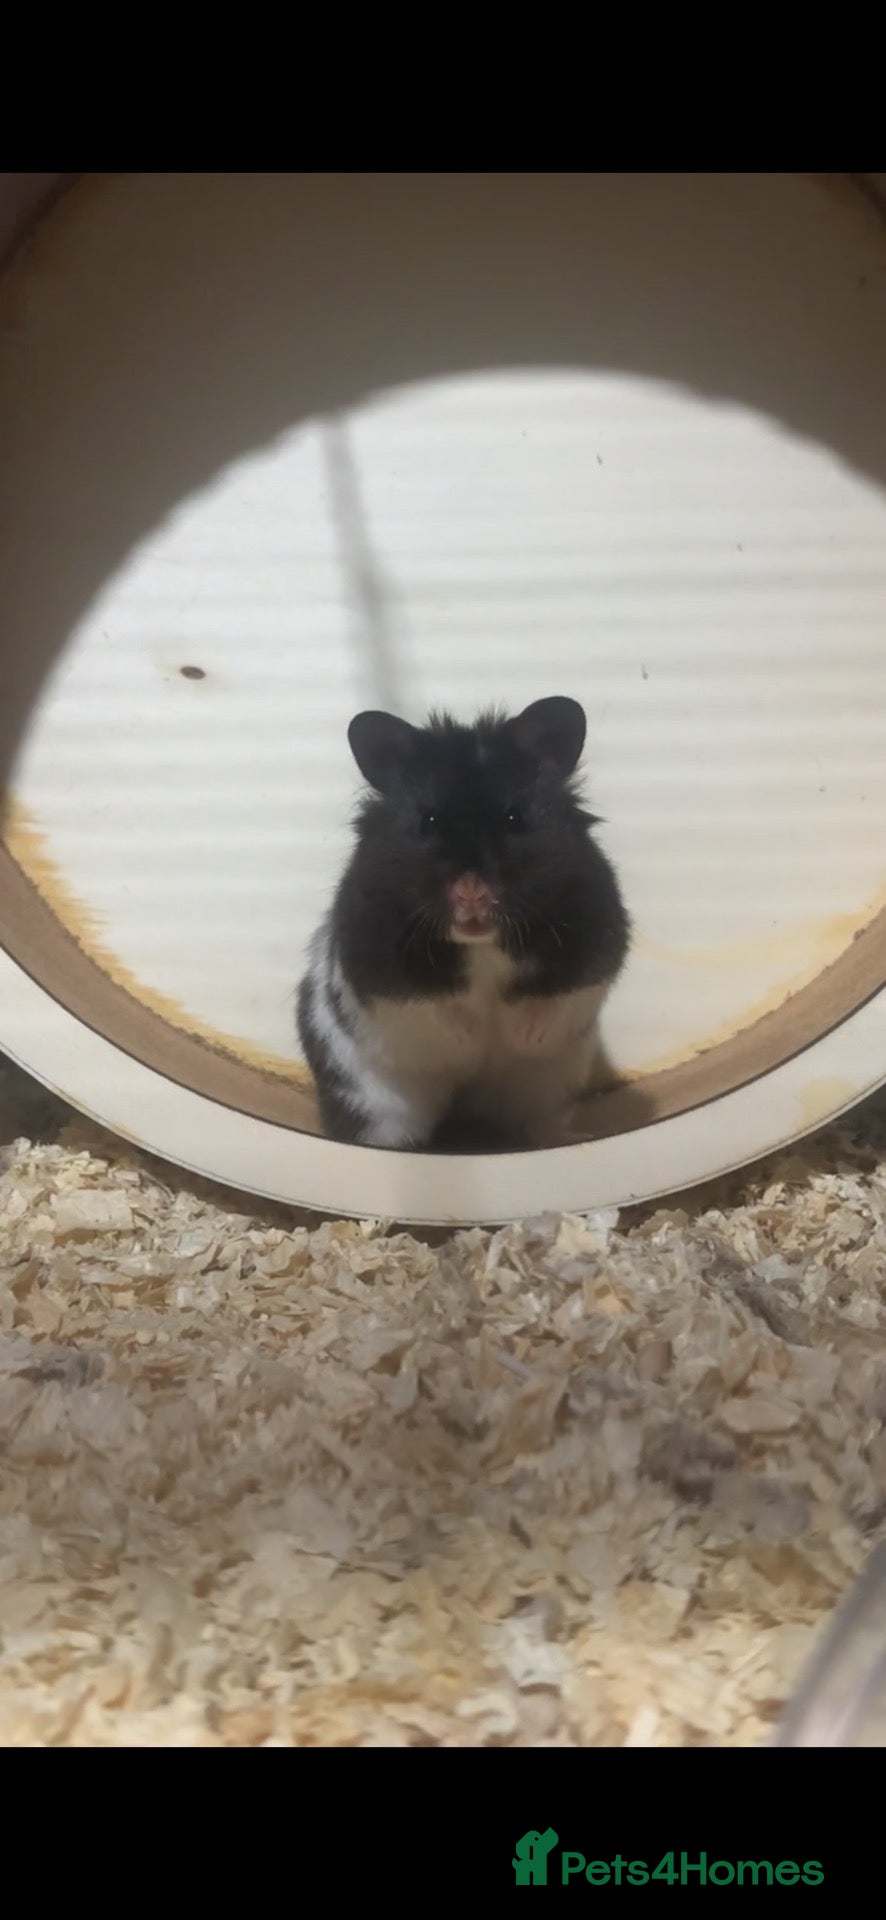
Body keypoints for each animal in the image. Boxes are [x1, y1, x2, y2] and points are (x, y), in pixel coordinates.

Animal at [297, 695, 630, 1151]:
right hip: (366, 1093)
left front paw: (524, 1035)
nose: (470, 892)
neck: (481, 945)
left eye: (515, 819)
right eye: (428, 821)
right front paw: (471, 1039)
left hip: (551, 1086)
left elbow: (557, 996)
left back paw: (574, 1136)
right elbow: (433, 1005)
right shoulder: (378, 968)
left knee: (537, 1124)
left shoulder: (597, 938)